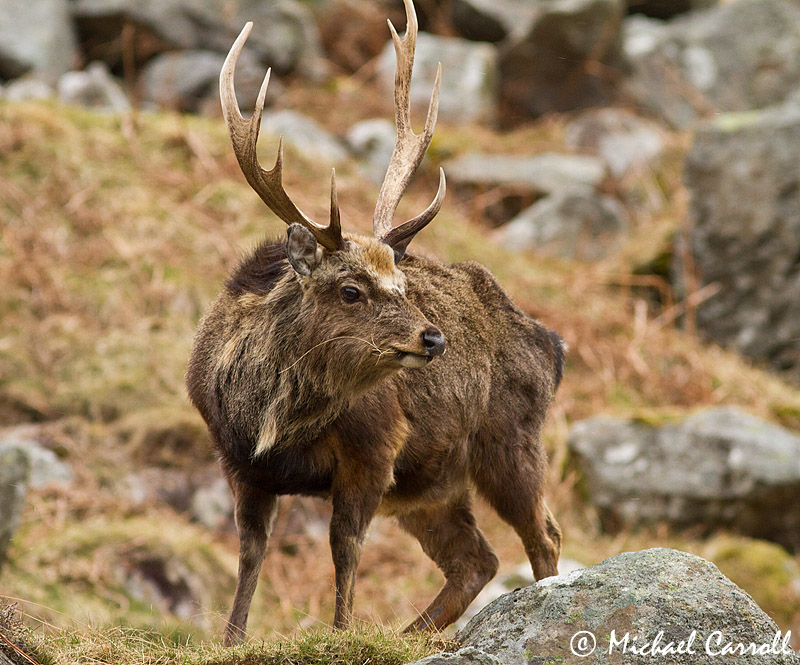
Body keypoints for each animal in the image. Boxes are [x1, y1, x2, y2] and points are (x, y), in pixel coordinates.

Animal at [186, 0, 564, 644]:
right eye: (351, 290)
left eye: (403, 286)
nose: (433, 336)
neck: (273, 423)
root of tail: (551, 344)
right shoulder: (238, 462)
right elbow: (250, 554)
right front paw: (232, 639)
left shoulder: (375, 448)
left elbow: (344, 546)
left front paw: (341, 633)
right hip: (430, 485)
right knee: (477, 557)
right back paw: (411, 634)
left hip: (510, 437)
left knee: (543, 536)